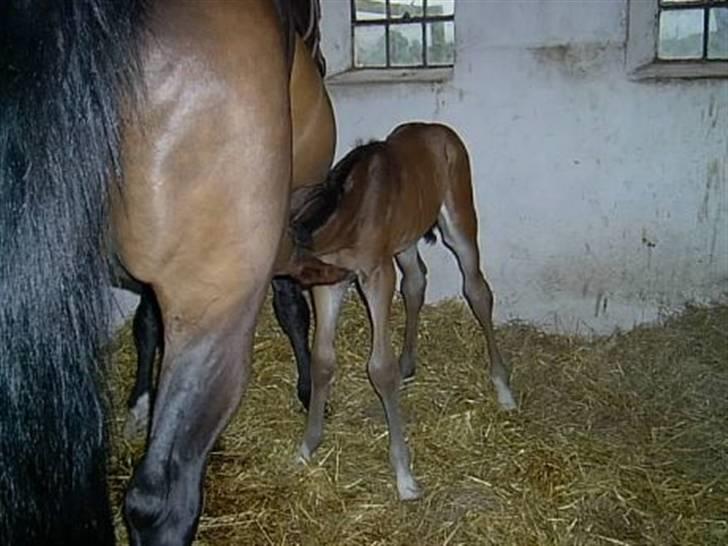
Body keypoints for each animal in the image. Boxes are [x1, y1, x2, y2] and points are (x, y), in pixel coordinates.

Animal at [0, 1, 332, 544]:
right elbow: (291, 309)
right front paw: (310, 391)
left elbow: (146, 324)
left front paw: (139, 403)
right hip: (212, 315)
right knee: (160, 499)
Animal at [292, 121, 516, 500]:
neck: (348, 213)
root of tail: (438, 129)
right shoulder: (329, 282)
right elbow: (322, 360)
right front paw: (307, 447)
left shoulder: (377, 275)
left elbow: (380, 369)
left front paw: (404, 476)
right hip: (406, 241)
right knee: (415, 283)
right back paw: (408, 361)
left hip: (459, 222)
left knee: (477, 291)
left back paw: (503, 389)